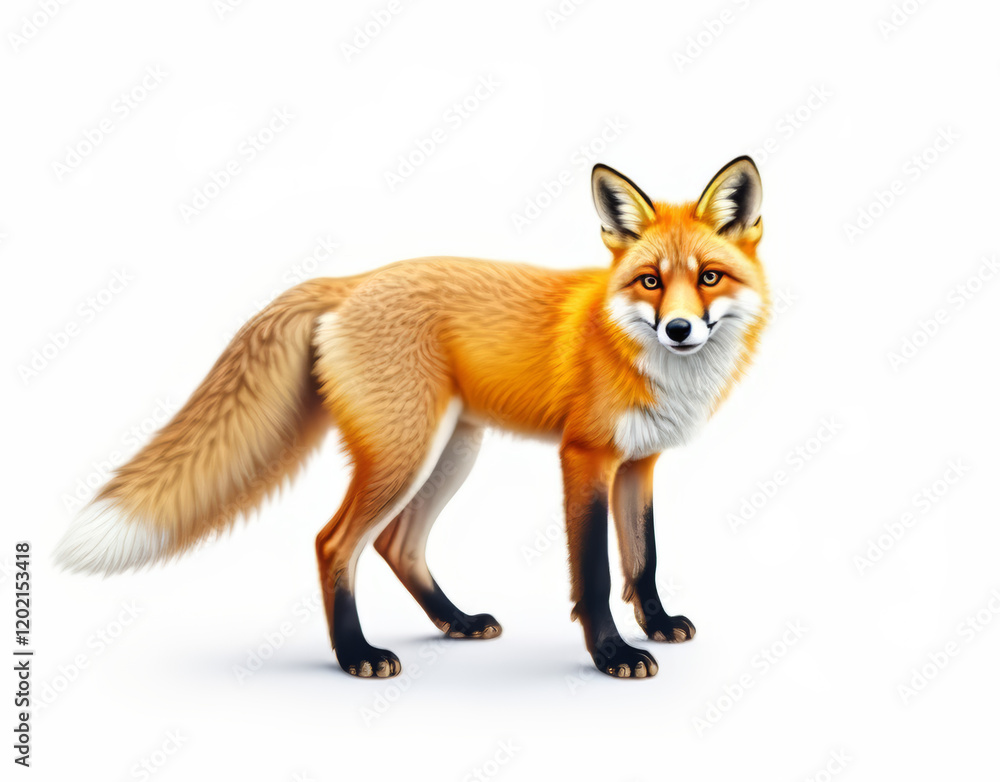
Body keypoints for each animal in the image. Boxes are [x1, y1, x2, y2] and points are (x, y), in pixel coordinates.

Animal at [55, 157, 769, 679]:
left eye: (709, 277)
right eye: (651, 281)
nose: (679, 330)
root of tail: (351, 281)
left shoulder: (639, 463)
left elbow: (643, 559)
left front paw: (657, 625)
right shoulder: (584, 458)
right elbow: (593, 574)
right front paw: (612, 655)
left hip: (451, 453)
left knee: (398, 544)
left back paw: (455, 622)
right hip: (406, 453)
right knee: (335, 542)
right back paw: (356, 655)